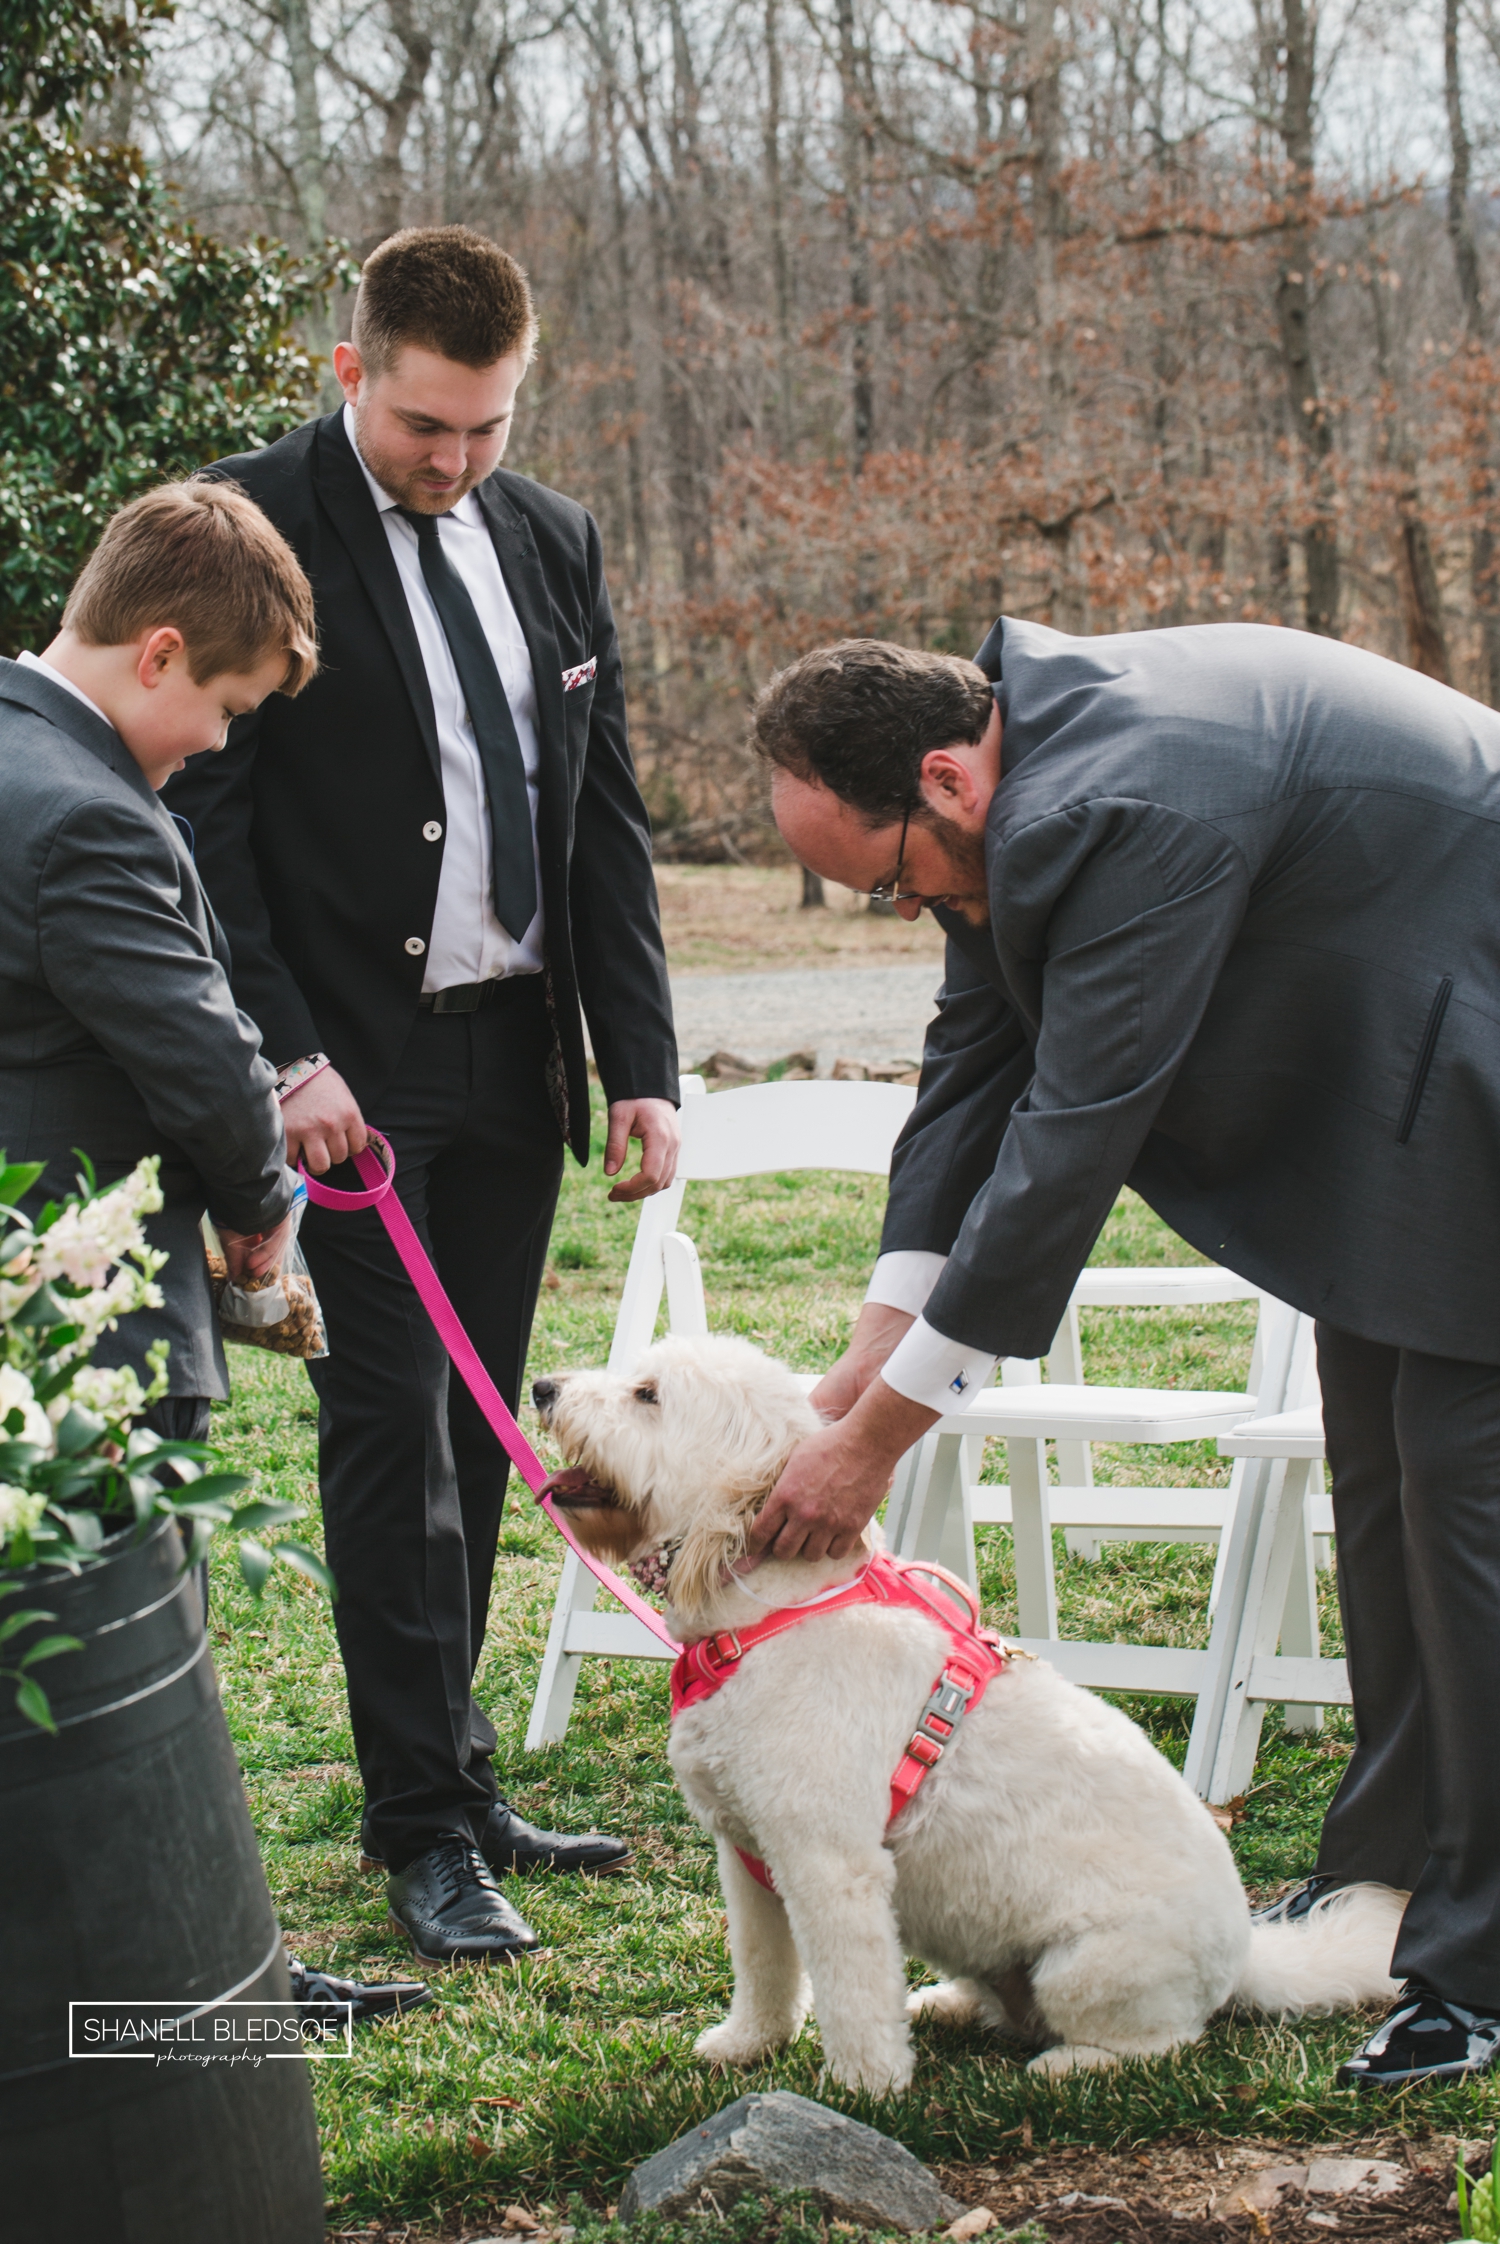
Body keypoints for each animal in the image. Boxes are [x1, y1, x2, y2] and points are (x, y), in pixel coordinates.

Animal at [536, 1328, 1410, 2082]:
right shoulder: (748, 1859)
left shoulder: (830, 1866)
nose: (542, 1388)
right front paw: (748, 2043)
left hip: (1088, 1968)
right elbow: (763, 1966)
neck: (769, 1618)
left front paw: (865, 2087)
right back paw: (947, 2005)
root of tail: (1245, 1959)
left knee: (1162, 2042)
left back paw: (1068, 2064)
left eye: (647, 1395)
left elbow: (854, 1994)